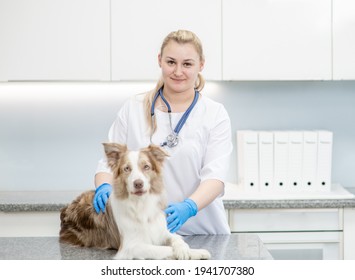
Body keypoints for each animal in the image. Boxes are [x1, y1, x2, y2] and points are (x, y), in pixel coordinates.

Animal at [59, 144, 211, 260]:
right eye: (127, 169)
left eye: (146, 167)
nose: (138, 183)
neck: (141, 204)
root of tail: (65, 210)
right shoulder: (130, 247)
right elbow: (162, 249)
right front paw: (191, 253)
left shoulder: (161, 231)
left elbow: (177, 238)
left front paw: (191, 250)